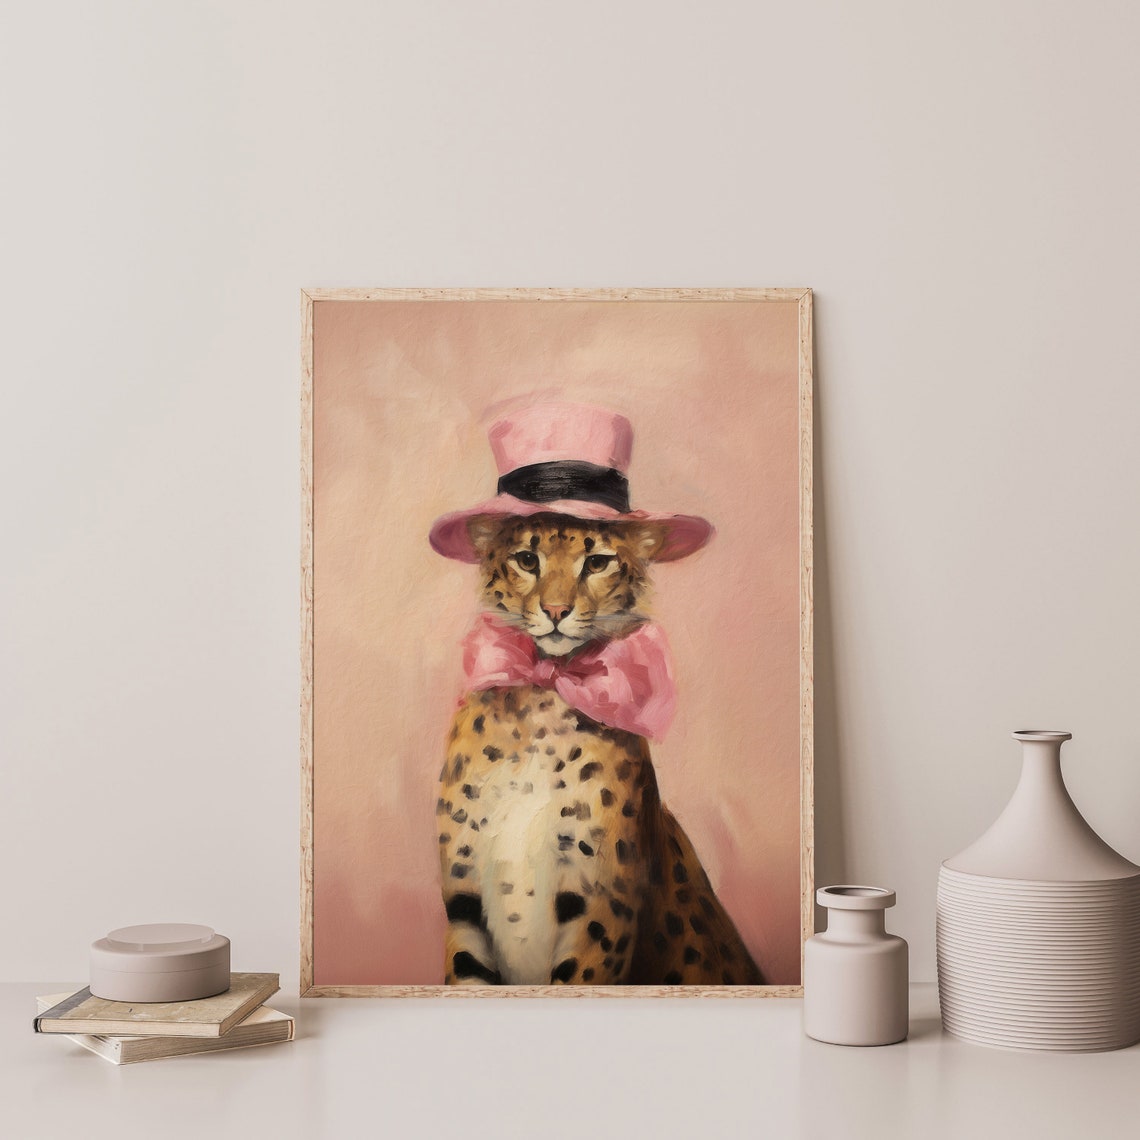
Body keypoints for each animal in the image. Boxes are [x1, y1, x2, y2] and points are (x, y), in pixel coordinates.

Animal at [437, 512, 763, 987]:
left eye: (596, 562)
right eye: (526, 559)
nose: (556, 611)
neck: (542, 697)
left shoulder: (599, 904)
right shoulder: (464, 898)